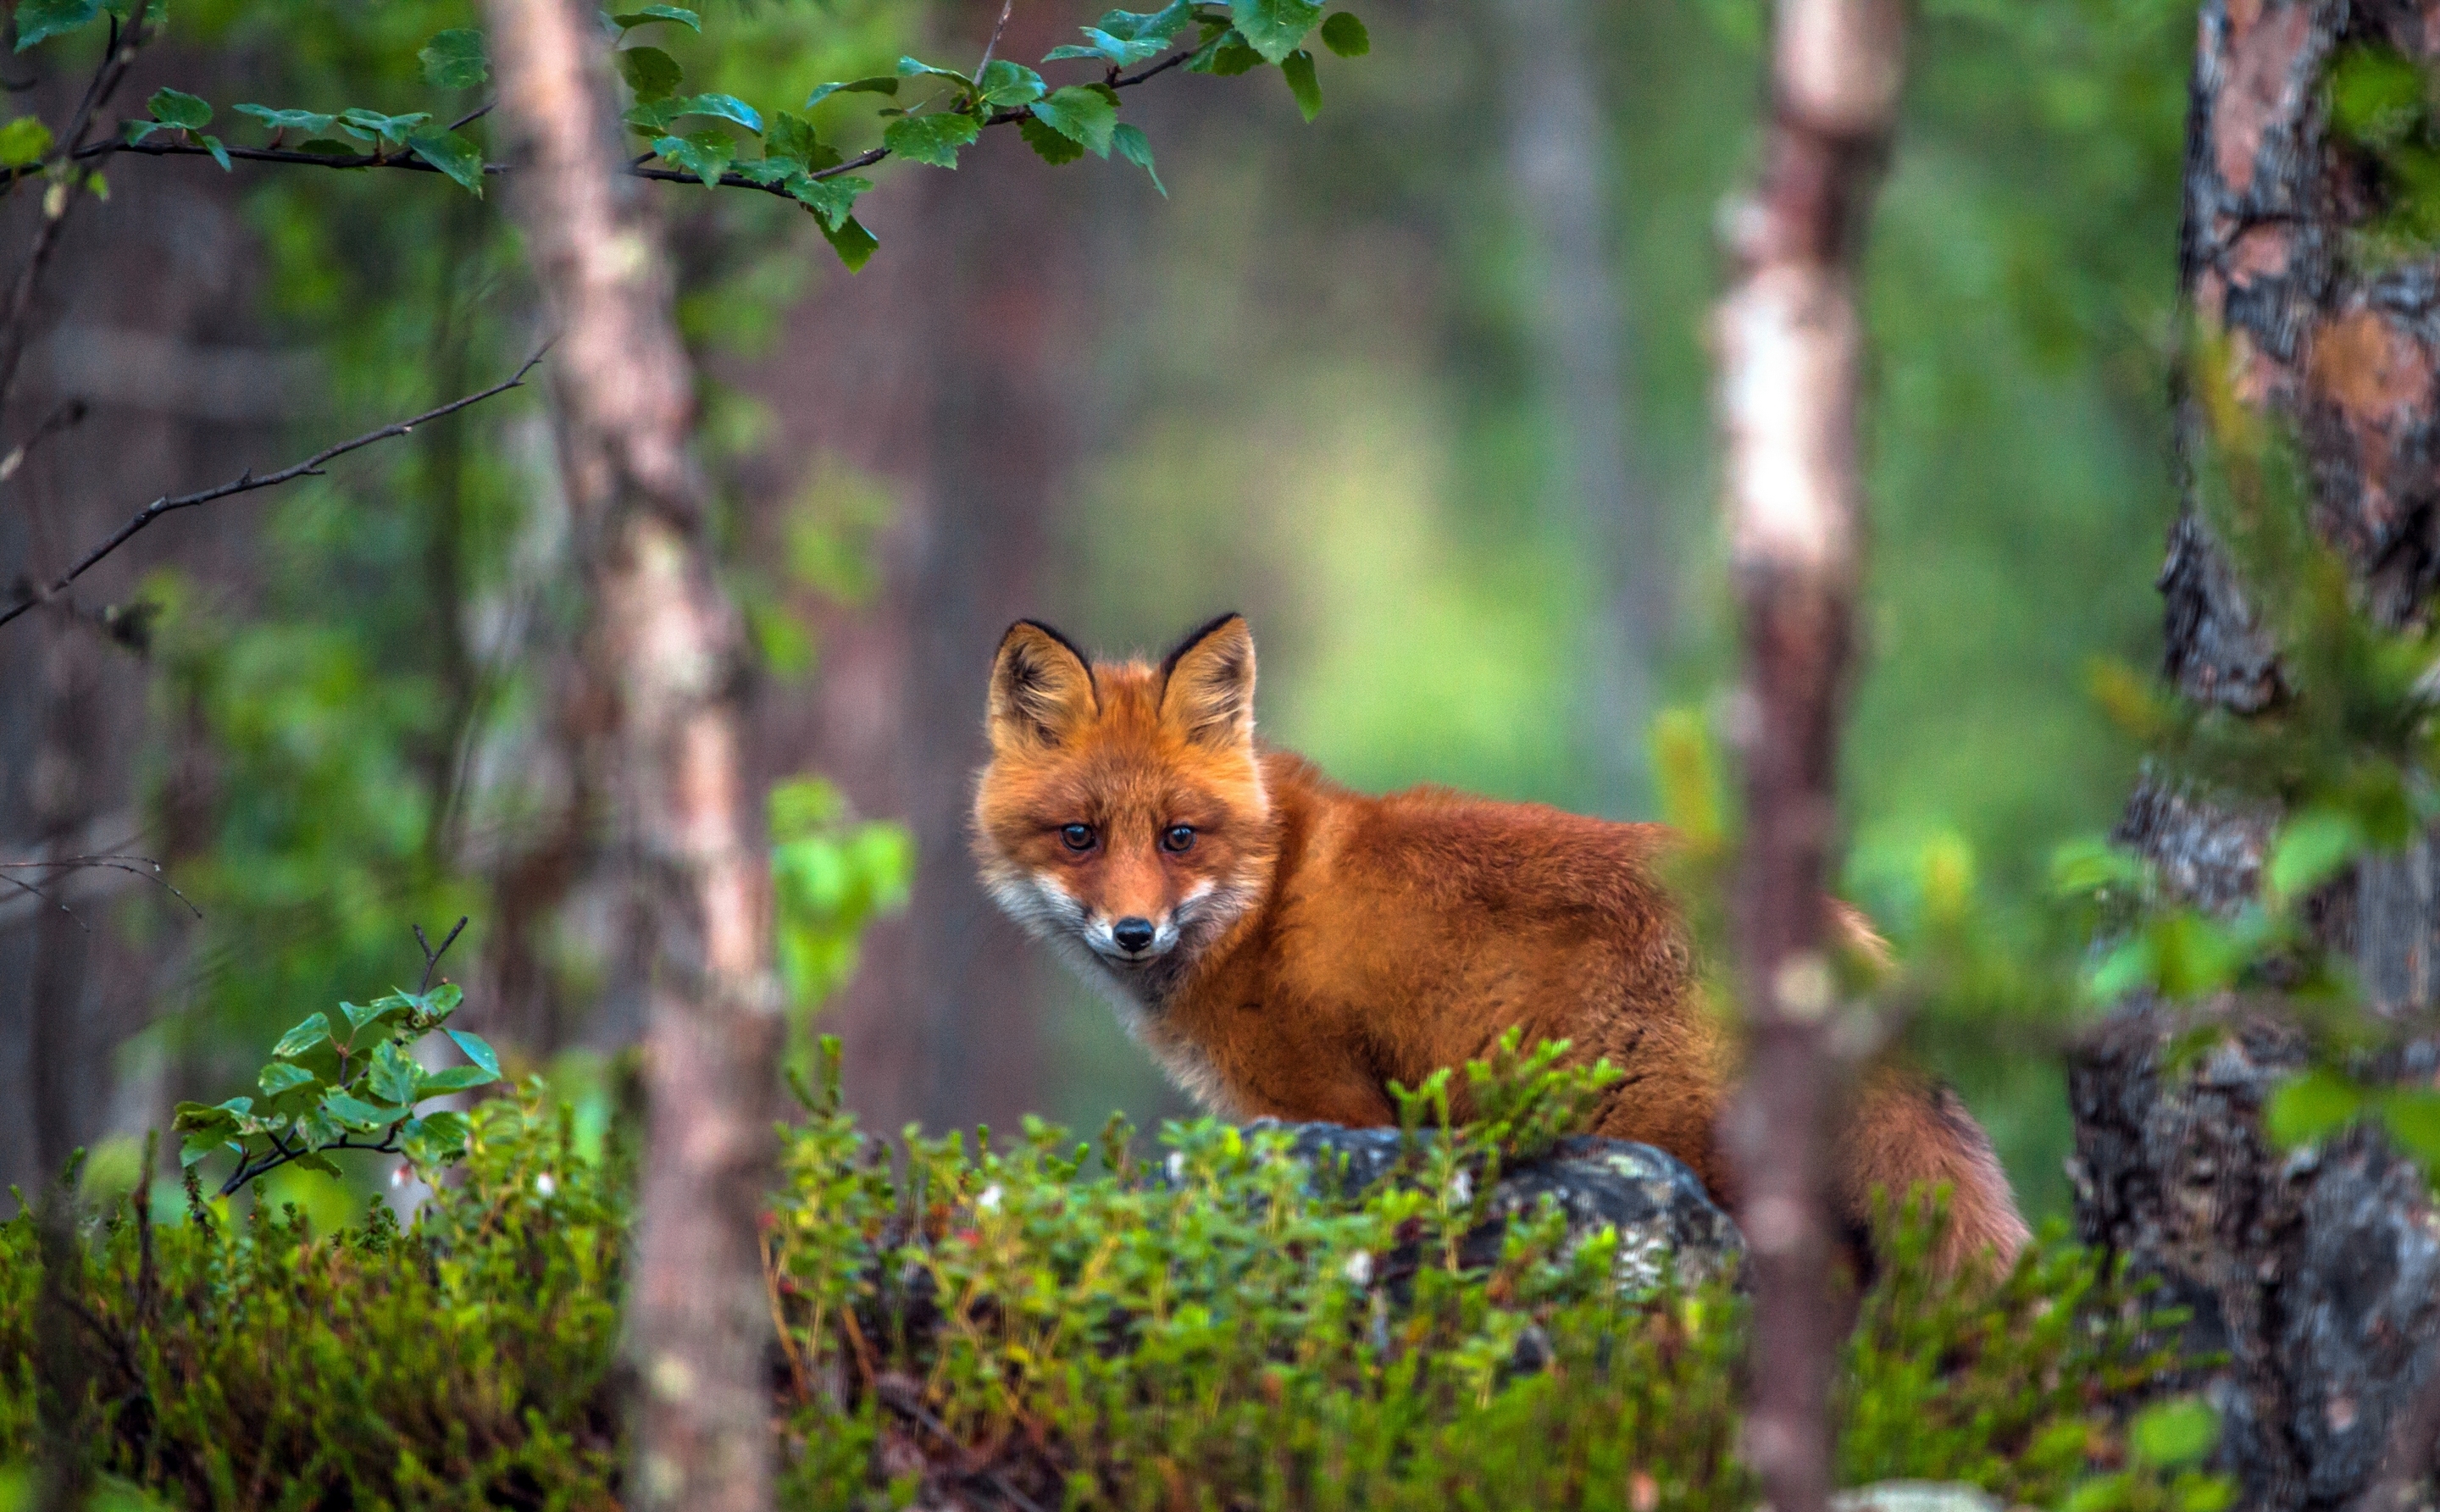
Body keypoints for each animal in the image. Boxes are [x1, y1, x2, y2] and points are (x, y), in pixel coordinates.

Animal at [970, 612, 2029, 1274]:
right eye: (1080, 837)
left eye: (1179, 837)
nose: (1134, 932)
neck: (1260, 899)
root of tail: (1834, 929)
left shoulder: (1334, 1108)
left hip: (1668, 1135)